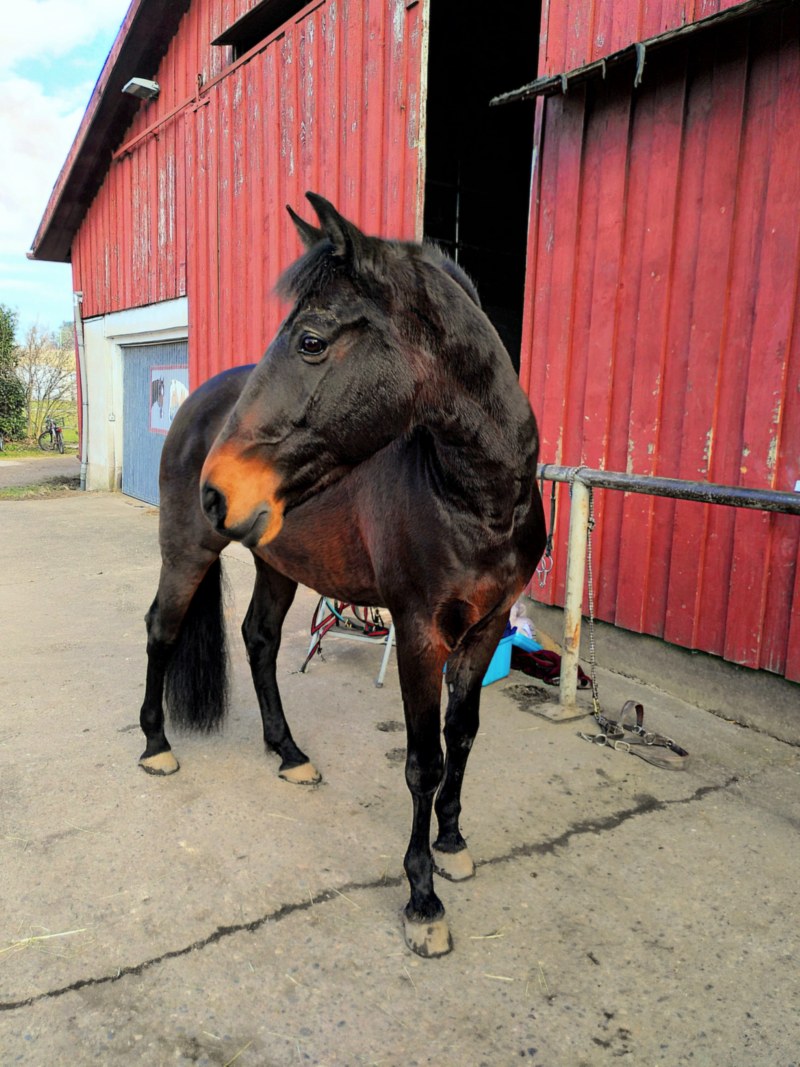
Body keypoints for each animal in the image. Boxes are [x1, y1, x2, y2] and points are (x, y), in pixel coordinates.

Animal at [138, 193, 546, 957]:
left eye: (311, 341)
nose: (219, 488)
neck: (473, 495)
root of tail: (195, 404)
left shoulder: (485, 627)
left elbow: (463, 734)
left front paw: (452, 841)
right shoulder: (419, 635)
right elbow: (423, 761)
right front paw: (423, 899)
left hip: (276, 563)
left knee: (259, 639)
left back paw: (288, 752)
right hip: (187, 551)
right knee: (161, 630)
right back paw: (155, 745)